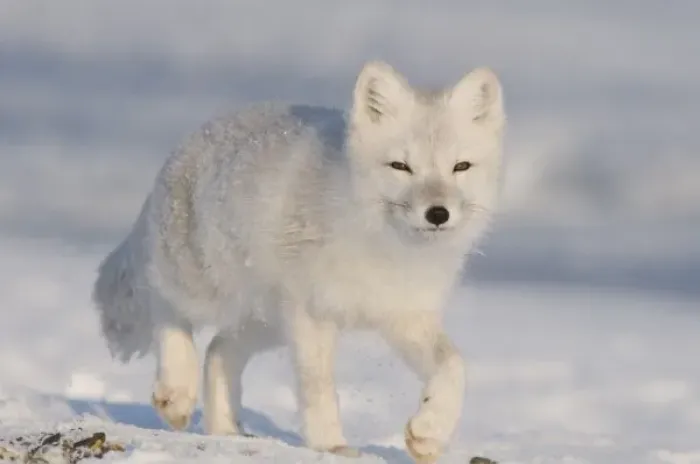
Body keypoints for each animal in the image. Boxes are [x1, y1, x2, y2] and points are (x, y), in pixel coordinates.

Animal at [92, 60, 505, 463]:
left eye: (461, 167)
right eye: (400, 166)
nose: (438, 214)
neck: (385, 245)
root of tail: (192, 138)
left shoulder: (405, 316)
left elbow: (454, 366)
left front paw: (429, 432)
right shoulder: (313, 314)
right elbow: (318, 387)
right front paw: (331, 446)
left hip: (268, 321)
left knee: (219, 351)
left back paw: (225, 431)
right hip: (203, 285)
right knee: (163, 304)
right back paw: (177, 391)